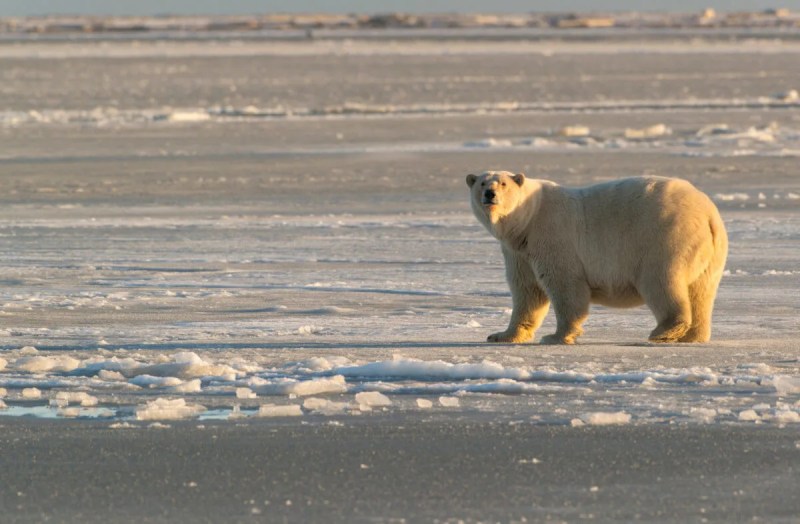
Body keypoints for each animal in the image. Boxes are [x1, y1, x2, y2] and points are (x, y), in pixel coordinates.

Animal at [466, 171, 728, 344]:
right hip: (712, 255)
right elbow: (527, 291)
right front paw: (502, 335)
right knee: (702, 291)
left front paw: (556, 336)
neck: (527, 219)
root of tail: (709, 214)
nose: (489, 194)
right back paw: (694, 336)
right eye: (481, 182)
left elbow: (565, 286)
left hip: (665, 238)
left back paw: (663, 332)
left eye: (503, 183)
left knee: (662, 281)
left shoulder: (553, 236)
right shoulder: (519, 252)